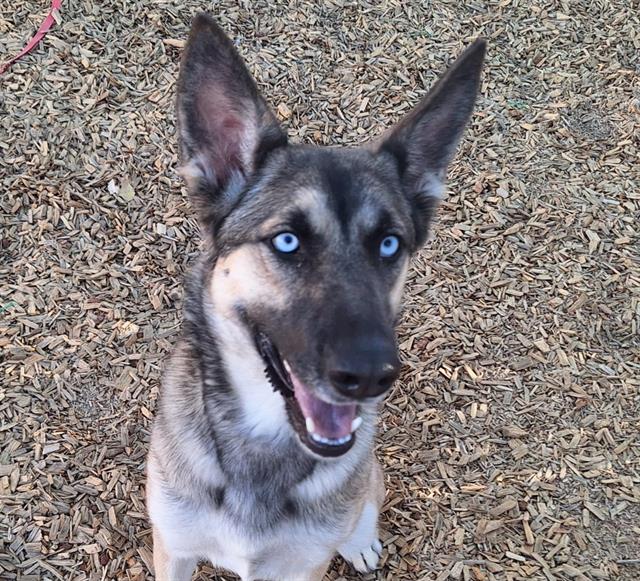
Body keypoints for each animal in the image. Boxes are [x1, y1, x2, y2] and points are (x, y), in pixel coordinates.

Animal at [146, 13, 484, 580]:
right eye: (288, 241)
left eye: (389, 244)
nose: (369, 376)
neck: (265, 437)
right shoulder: (174, 549)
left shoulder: (301, 566)